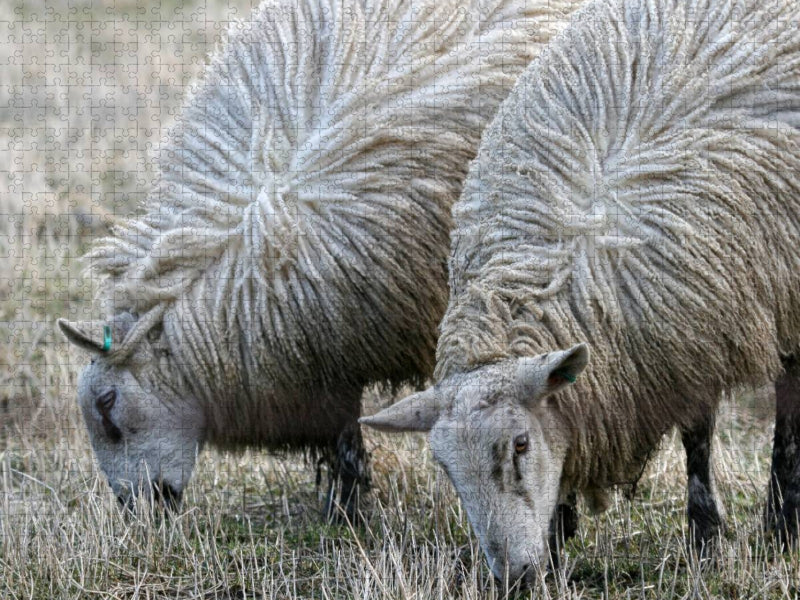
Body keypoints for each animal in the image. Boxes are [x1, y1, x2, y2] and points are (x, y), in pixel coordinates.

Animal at [361, 0, 800, 582]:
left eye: (520, 444)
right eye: (447, 469)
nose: (513, 578)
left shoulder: (696, 326)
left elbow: (699, 438)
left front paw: (706, 538)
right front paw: (556, 534)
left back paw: (784, 519)